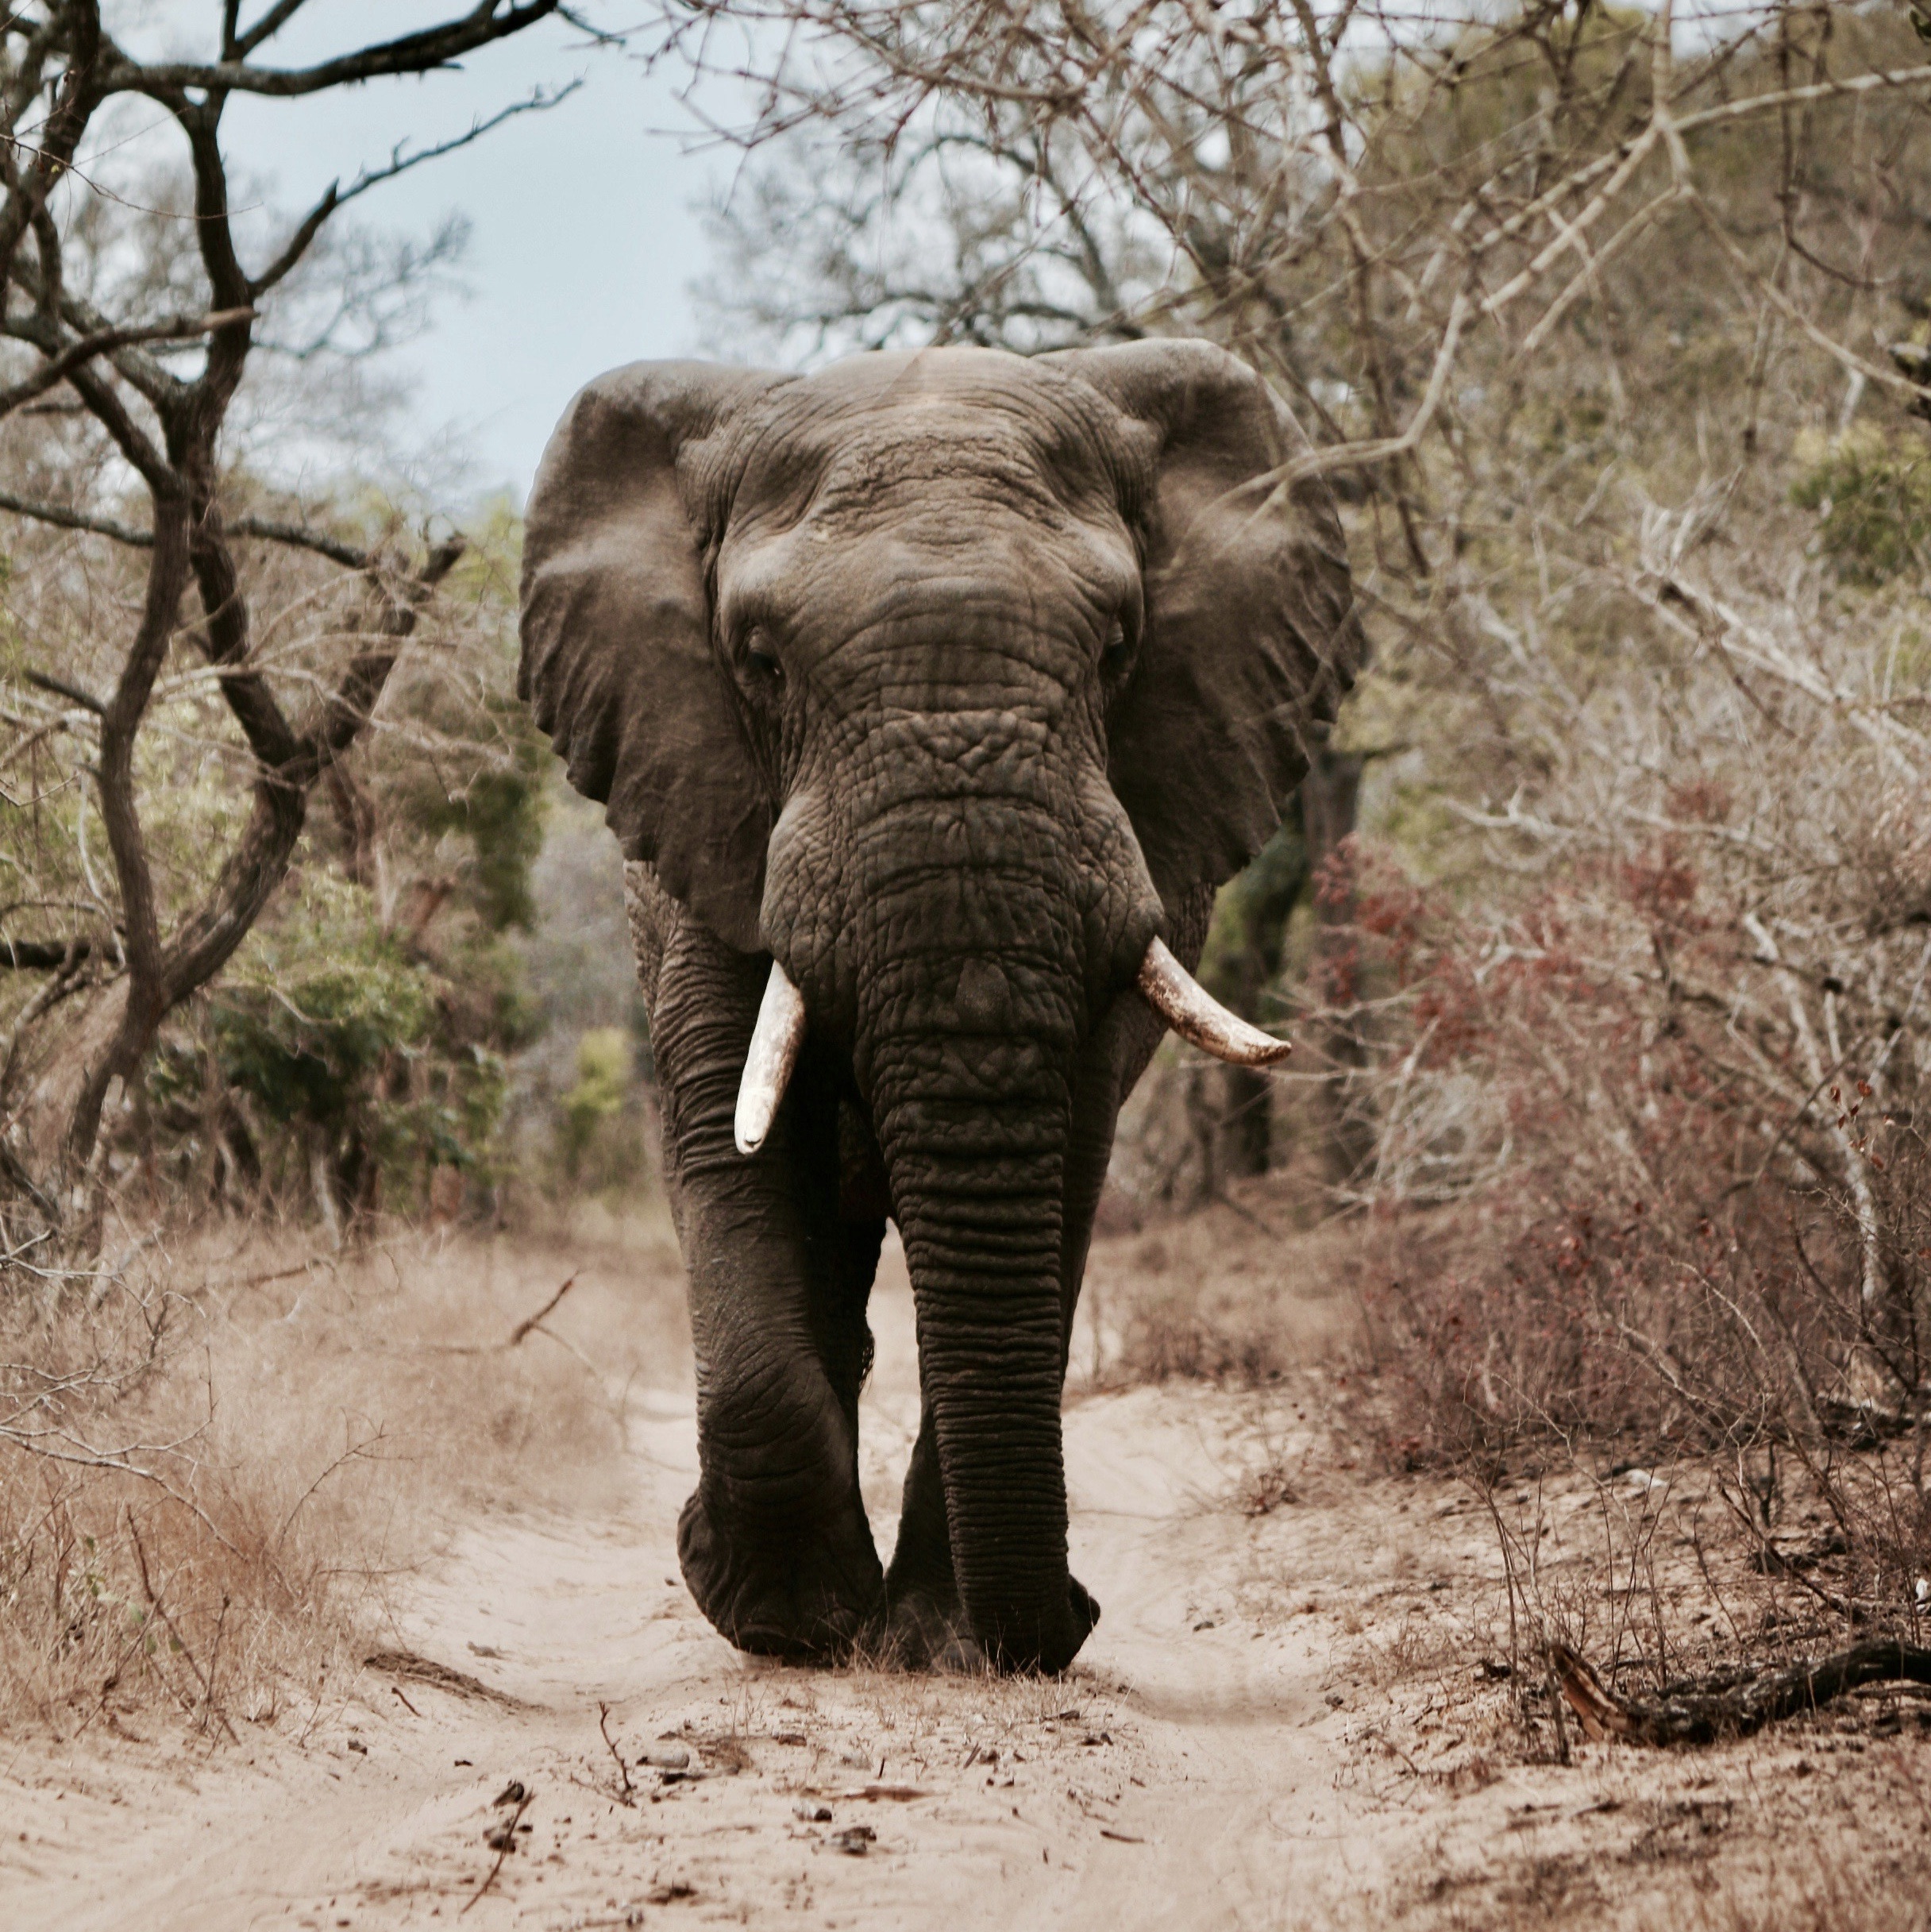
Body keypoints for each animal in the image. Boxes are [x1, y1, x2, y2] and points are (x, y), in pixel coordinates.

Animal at [513, 340, 1359, 1669]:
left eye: (1117, 649)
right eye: (760, 662)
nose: (1070, 1621)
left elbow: (1065, 1159)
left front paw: (938, 1642)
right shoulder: (703, 815)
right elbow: (732, 1140)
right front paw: (785, 1622)